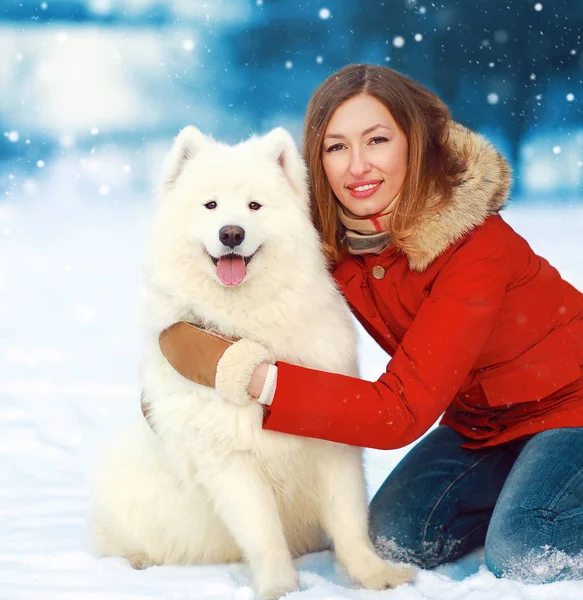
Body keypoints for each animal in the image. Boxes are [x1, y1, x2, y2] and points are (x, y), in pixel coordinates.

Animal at [91, 126, 412, 600]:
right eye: (210, 205)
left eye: (254, 206)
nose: (231, 233)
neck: (246, 322)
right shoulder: (229, 459)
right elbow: (263, 534)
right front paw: (279, 587)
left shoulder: (333, 441)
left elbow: (350, 520)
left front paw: (375, 575)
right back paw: (138, 560)